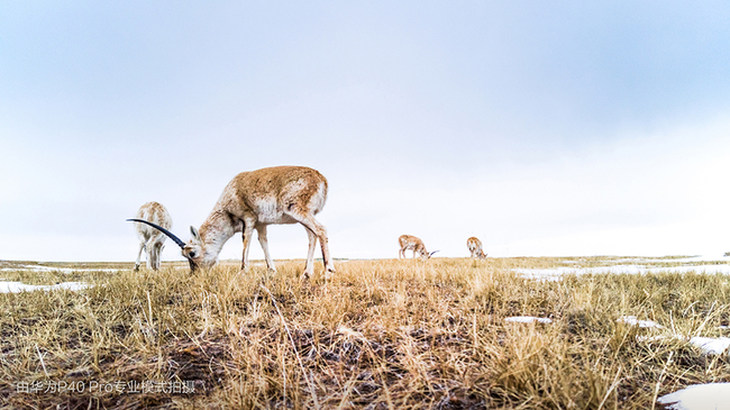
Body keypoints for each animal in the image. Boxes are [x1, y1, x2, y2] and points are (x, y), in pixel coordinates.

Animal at [129, 166, 334, 278]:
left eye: (192, 253)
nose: (195, 275)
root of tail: (321, 178)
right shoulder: (261, 224)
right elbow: (263, 243)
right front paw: (271, 271)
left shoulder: (248, 219)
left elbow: (246, 241)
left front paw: (242, 272)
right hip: (302, 216)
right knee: (312, 236)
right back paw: (306, 274)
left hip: (298, 211)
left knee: (321, 230)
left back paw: (328, 271)